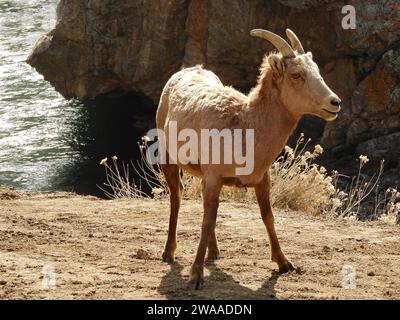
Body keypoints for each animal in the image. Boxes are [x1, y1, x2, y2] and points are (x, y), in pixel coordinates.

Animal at [155, 28, 340, 288]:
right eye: (296, 75)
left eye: (317, 71)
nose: (334, 103)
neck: (244, 127)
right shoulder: (213, 179)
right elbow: (206, 221)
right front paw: (195, 276)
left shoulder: (261, 180)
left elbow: (267, 217)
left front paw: (284, 264)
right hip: (169, 160)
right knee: (176, 198)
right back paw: (168, 253)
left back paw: (214, 252)